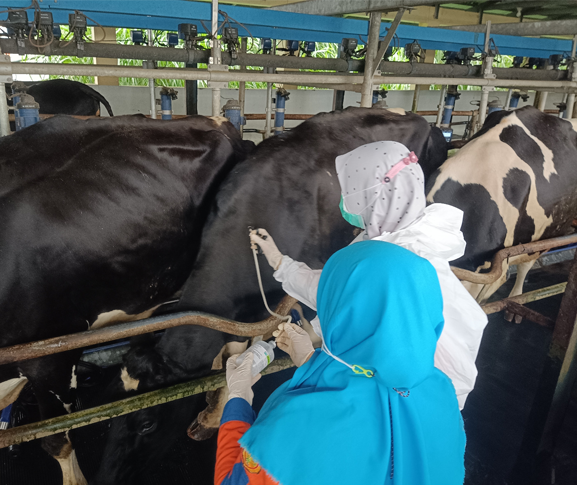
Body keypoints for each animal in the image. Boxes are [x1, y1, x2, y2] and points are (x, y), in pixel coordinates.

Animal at [92, 107, 449, 485]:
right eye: (111, 407)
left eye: (146, 423)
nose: (103, 479)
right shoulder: (239, 314)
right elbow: (233, 351)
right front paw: (214, 401)